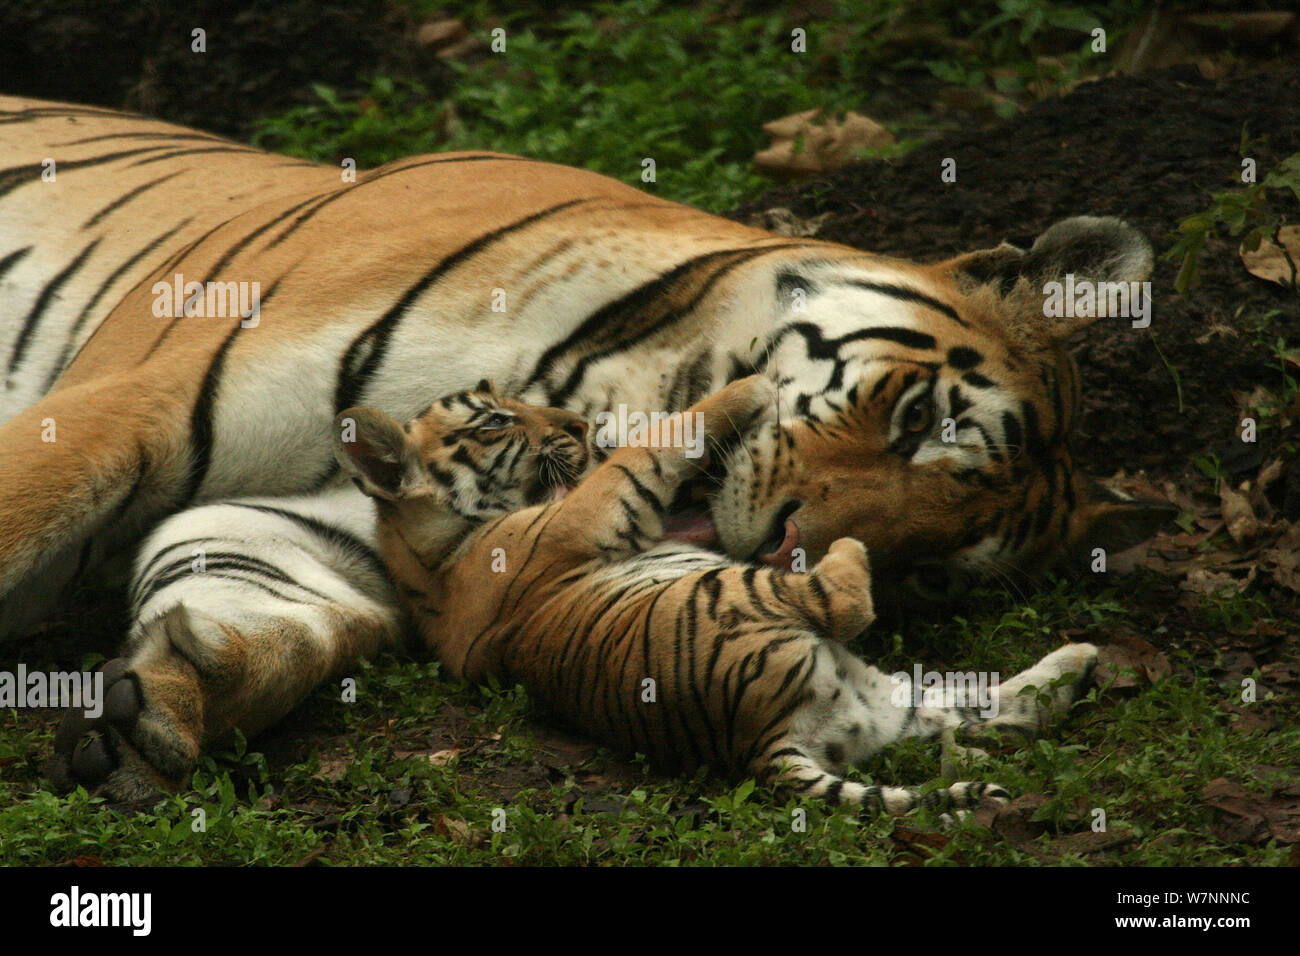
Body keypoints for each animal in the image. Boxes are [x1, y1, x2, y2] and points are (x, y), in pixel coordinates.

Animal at [323, 374, 1100, 815]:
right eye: (494, 420)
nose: (577, 425)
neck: (436, 557)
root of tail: (760, 743)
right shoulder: (589, 511)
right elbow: (658, 441)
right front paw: (755, 385)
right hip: (734, 594)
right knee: (842, 600)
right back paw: (847, 552)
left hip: (892, 696)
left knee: (984, 708)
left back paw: (1076, 666)